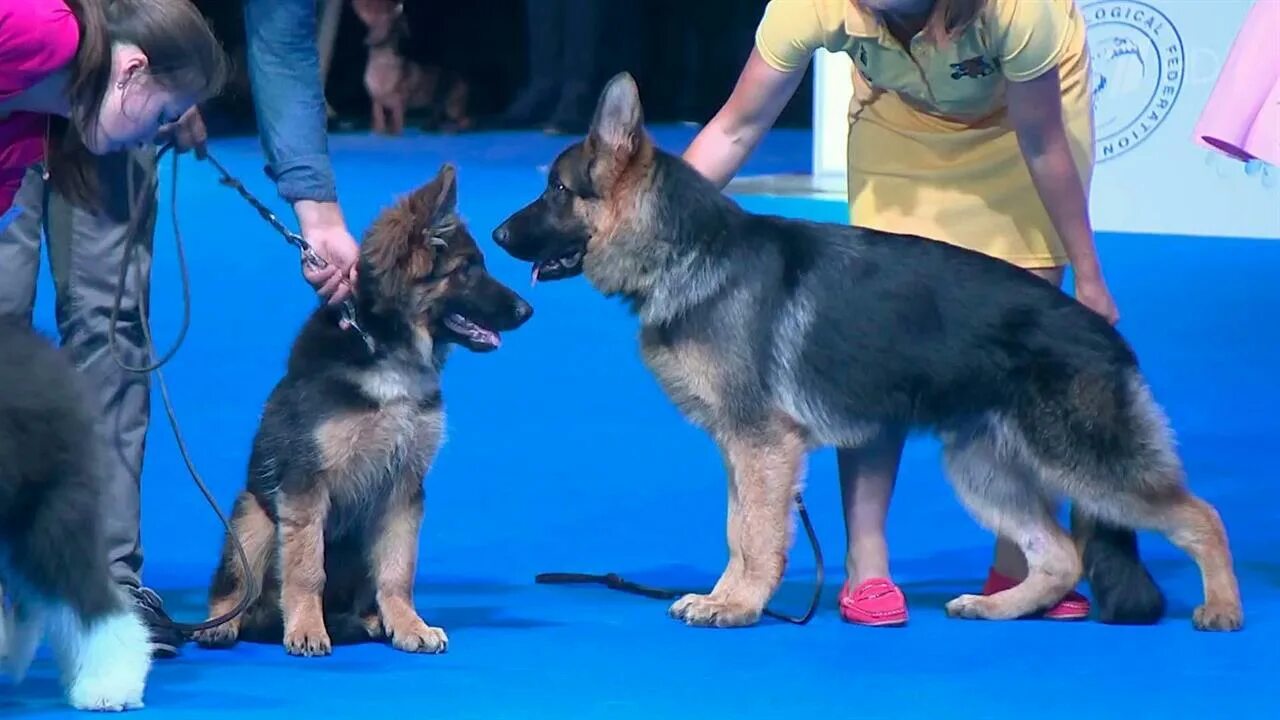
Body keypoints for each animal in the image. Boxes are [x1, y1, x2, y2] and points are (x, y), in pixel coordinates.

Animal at [189, 163, 529, 655]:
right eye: (466, 270)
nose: (528, 309)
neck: (386, 350)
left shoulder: (404, 488)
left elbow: (398, 571)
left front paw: (409, 624)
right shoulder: (305, 486)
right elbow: (306, 567)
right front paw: (306, 628)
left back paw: (365, 620)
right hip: (252, 515)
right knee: (235, 587)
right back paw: (226, 624)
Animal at [486, 74, 1239, 627]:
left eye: (556, 189)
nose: (493, 235)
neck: (688, 251)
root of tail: (1107, 333)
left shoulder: (763, 448)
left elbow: (754, 535)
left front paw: (740, 605)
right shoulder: (742, 451)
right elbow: (737, 529)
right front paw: (725, 596)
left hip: (1087, 464)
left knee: (1202, 516)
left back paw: (1222, 609)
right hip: (980, 469)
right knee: (1057, 556)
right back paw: (997, 606)